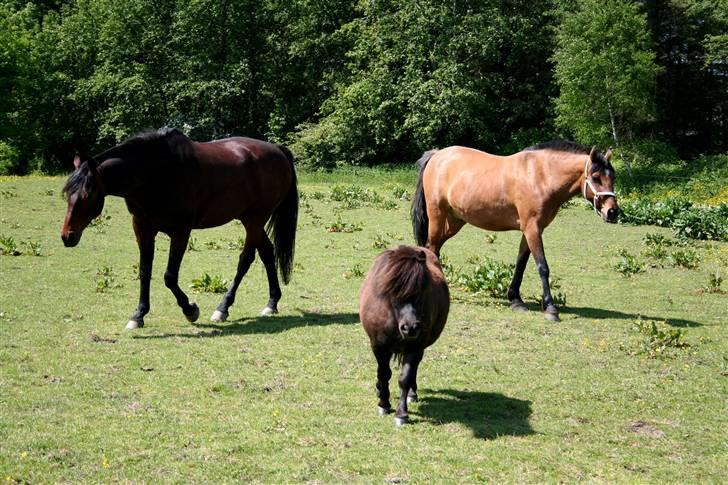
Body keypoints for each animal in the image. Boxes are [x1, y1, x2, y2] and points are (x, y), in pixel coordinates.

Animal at [61, 126, 298, 328]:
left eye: (88, 194)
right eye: (67, 193)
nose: (67, 236)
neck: (156, 173)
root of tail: (277, 150)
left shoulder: (181, 231)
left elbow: (169, 276)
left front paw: (190, 310)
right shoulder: (142, 228)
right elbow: (145, 271)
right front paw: (138, 315)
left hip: (256, 219)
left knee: (246, 259)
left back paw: (222, 308)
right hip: (249, 219)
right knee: (267, 252)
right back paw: (271, 303)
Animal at [358, 246, 450, 424]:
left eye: (422, 291)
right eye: (394, 292)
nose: (410, 328)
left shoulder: (415, 346)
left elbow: (405, 378)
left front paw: (401, 414)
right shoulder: (379, 346)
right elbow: (383, 373)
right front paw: (383, 404)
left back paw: (412, 394)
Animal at [412, 140, 616, 322]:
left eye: (613, 177)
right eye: (596, 177)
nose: (613, 212)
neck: (540, 176)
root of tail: (437, 155)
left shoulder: (531, 230)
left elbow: (521, 264)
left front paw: (516, 299)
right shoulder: (532, 228)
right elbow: (542, 267)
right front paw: (550, 308)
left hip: (455, 221)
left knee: (434, 249)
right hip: (437, 216)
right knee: (431, 248)